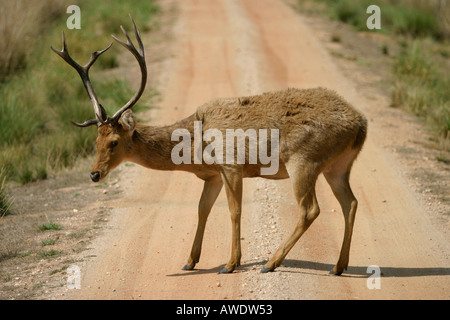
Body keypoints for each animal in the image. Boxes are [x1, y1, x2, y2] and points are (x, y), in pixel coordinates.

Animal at [51, 16, 366, 276]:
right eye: (95, 141)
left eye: (114, 142)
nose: (94, 174)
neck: (195, 149)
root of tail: (361, 123)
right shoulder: (212, 175)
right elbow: (202, 209)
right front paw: (190, 261)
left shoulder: (231, 164)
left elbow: (234, 211)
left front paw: (231, 264)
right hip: (338, 166)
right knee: (350, 202)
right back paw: (338, 266)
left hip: (304, 160)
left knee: (310, 209)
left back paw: (271, 263)